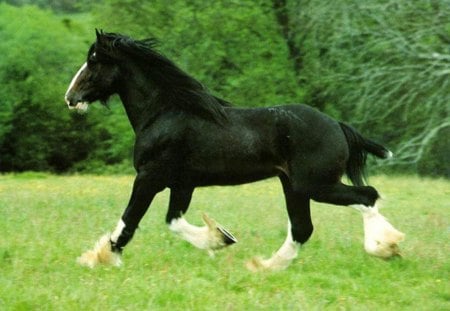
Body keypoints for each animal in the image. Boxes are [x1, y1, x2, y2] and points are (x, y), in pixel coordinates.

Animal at [64, 30, 404, 272]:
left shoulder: (149, 178)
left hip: (315, 185)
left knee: (367, 196)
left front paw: (100, 258)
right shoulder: (182, 184)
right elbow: (173, 221)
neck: (166, 113)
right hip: (294, 186)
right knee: (303, 228)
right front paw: (221, 238)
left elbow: (129, 221)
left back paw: (385, 247)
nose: (70, 97)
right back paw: (264, 267)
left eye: (94, 60)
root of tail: (337, 125)